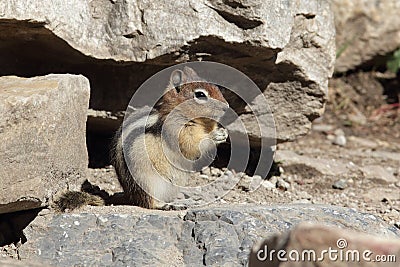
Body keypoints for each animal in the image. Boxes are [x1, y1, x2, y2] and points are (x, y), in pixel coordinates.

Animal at [111, 67, 230, 209]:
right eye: (200, 95)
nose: (226, 107)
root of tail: (131, 197)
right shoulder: (176, 130)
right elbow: (191, 146)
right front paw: (214, 136)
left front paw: (223, 132)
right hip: (147, 181)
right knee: (150, 203)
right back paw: (170, 205)